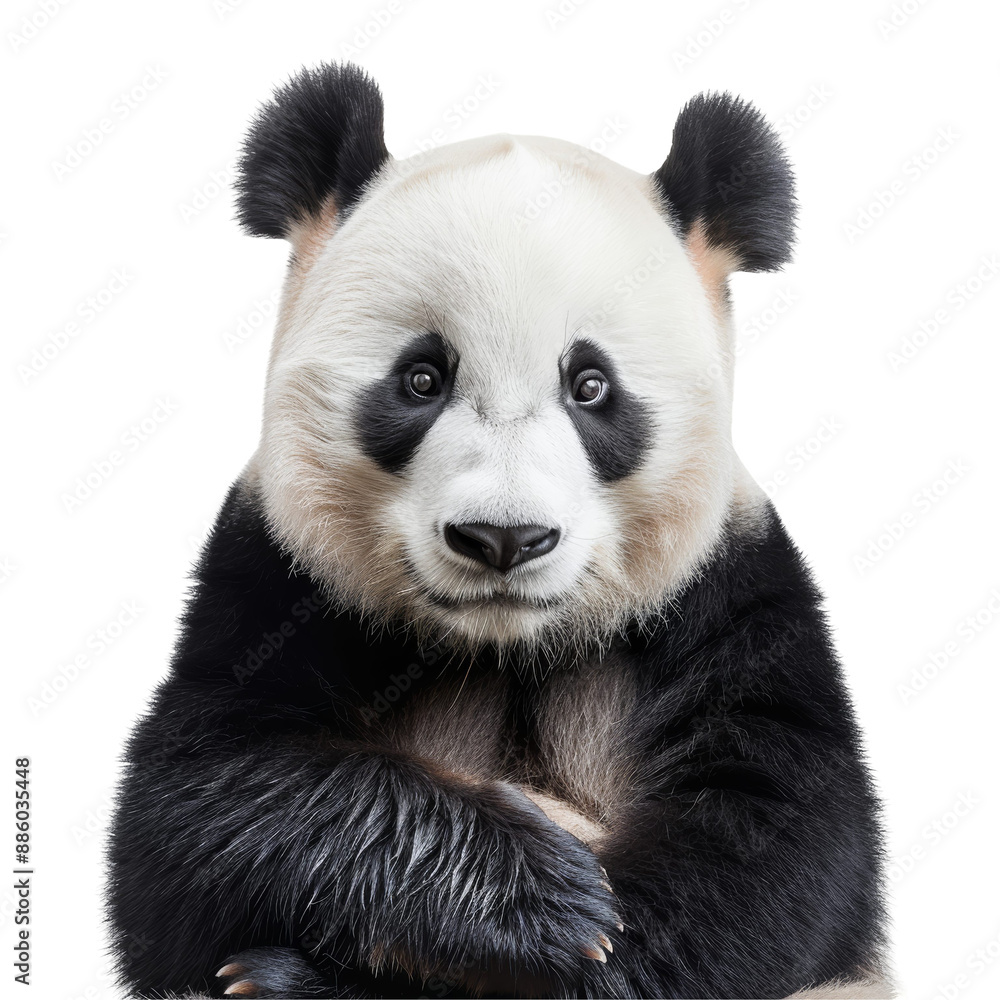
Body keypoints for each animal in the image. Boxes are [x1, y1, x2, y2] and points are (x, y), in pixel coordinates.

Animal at [106, 63, 891, 999]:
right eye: (421, 378)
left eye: (591, 386)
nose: (503, 539)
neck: (507, 644)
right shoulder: (274, 577)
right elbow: (198, 805)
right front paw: (537, 901)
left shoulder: (733, 593)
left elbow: (772, 850)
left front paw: (584, 935)